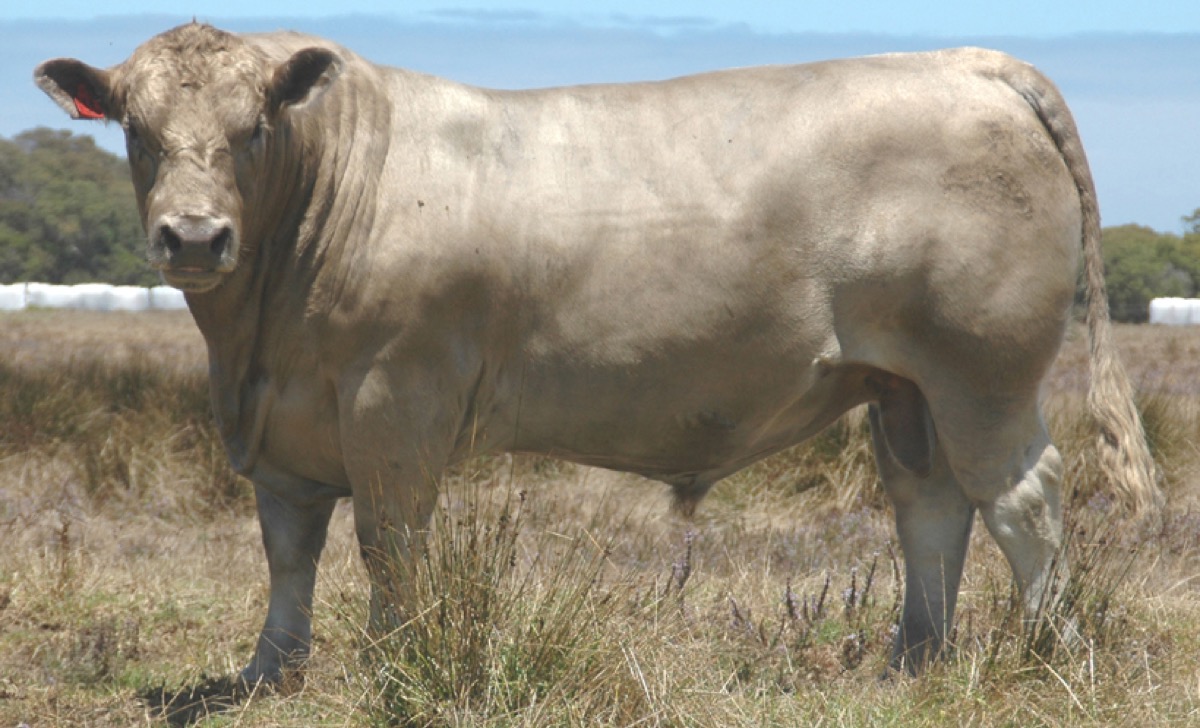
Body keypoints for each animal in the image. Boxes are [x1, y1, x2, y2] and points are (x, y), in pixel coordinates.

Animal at [36, 22, 1158, 686]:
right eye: (136, 129)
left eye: (255, 126)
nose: (192, 237)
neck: (257, 337)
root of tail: (967, 59)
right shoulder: (283, 419)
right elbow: (288, 547)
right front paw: (272, 673)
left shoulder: (395, 394)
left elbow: (389, 540)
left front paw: (399, 660)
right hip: (902, 382)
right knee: (929, 503)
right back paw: (911, 659)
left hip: (983, 370)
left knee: (1021, 497)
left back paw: (1050, 653)